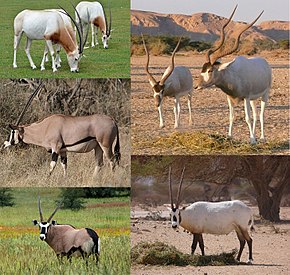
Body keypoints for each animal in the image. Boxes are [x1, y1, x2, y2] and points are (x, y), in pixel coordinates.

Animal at [195, 5, 272, 144]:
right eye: (202, 69)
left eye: (210, 70)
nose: (197, 86)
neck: (233, 76)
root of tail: (264, 62)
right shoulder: (230, 98)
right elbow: (232, 116)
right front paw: (229, 136)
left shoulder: (246, 97)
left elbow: (247, 118)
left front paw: (252, 140)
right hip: (253, 99)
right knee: (256, 114)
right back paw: (255, 136)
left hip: (265, 94)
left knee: (261, 114)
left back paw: (262, 137)